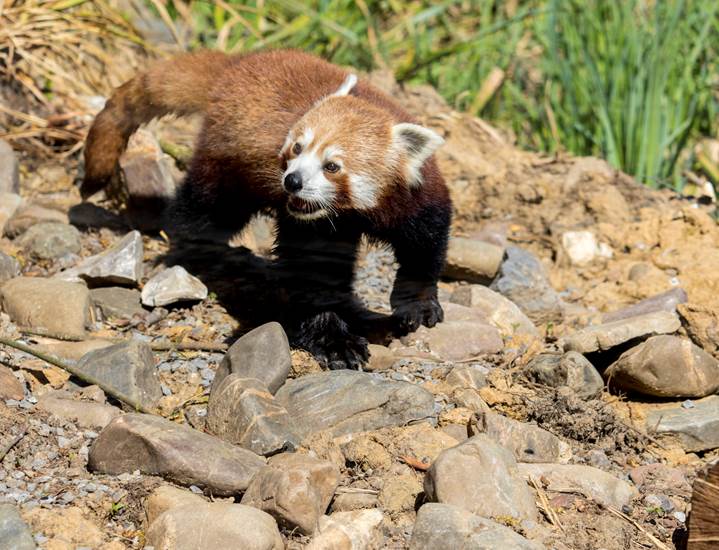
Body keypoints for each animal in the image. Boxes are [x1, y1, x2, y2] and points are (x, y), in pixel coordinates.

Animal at [83, 50, 450, 370]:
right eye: (297, 148)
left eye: (332, 166)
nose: (292, 180)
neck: (350, 213)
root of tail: (242, 60)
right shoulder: (310, 227)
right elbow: (314, 278)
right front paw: (335, 339)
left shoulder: (416, 201)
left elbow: (424, 248)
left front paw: (418, 306)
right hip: (227, 163)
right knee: (205, 210)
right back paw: (196, 249)